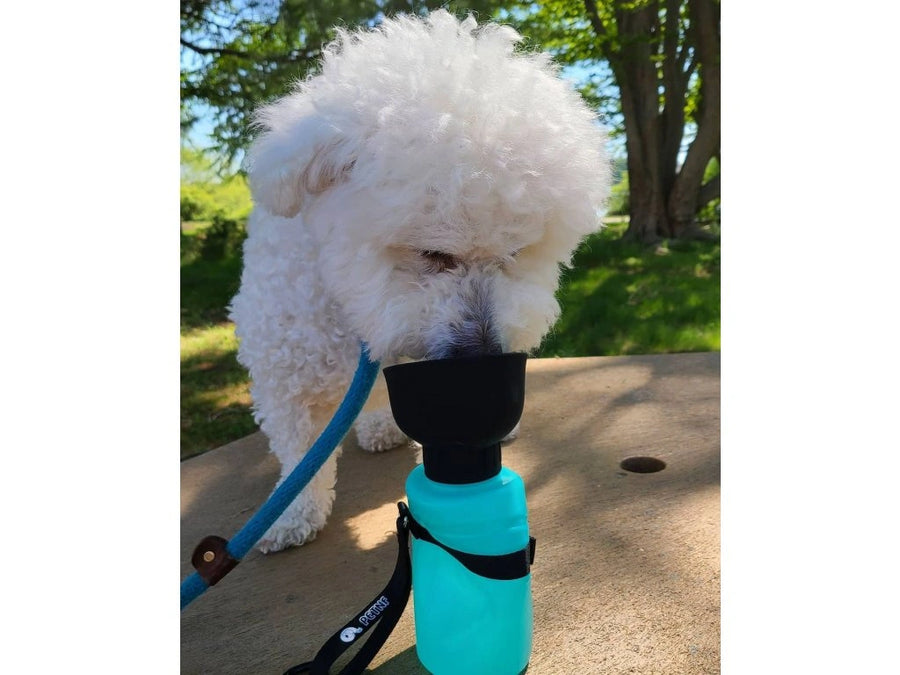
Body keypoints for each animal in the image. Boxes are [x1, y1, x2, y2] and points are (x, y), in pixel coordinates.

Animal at [232, 11, 612, 556]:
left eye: (516, 252)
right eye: (432, 254)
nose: (484, 356)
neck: (358, 315)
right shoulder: (286, 374)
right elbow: (299, 456)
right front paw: (291, 516)